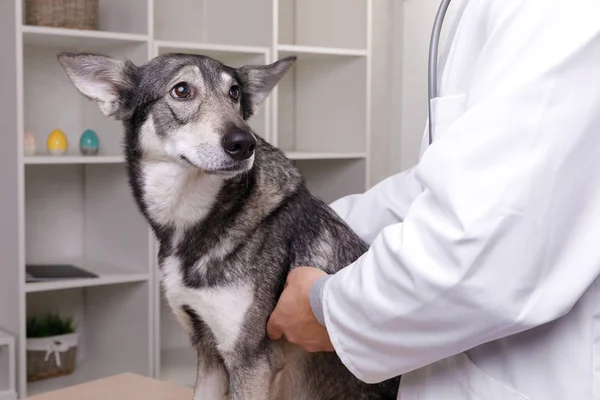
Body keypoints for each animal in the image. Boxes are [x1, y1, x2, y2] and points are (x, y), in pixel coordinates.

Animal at [58, 51, 400, 398]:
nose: (244, 143)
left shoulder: (250, 362)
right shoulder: (209, 353)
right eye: (181, 90)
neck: (195, 222)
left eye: (234, 92)